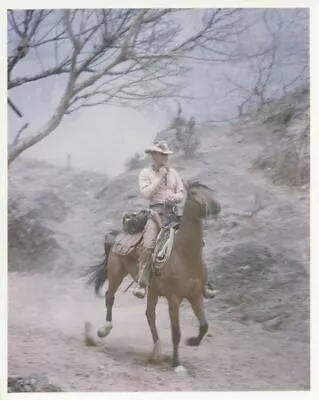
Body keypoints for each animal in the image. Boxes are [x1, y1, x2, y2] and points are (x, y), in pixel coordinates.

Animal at [85, 183, 221, 374]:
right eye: (194, 193)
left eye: (211, 191)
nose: (216, 207)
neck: (185, 255)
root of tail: (116, 235)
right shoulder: (174, 299)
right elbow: (176, 333)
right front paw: (177, 364)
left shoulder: (195, 295)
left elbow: (204, 325)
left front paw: (192, 341)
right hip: (116, 273)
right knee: (109, 297)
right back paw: (104, 330)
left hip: (153, 290)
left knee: (150, 315)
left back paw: (157, 351)